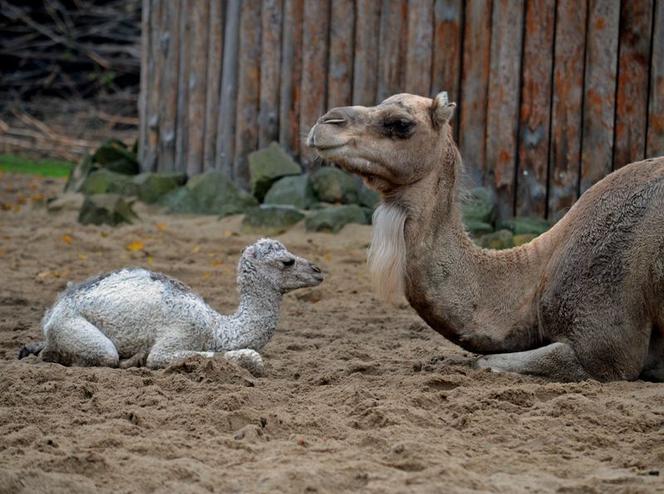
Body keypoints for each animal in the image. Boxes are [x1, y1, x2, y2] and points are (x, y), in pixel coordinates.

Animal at [18, 237, 324, 372]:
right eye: (287, 261)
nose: (319, 271)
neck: (218, 329)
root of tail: (52, 311)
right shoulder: (181, 334)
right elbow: (249, 356)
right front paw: (142, 358)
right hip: (72, 325)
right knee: (102, 354)